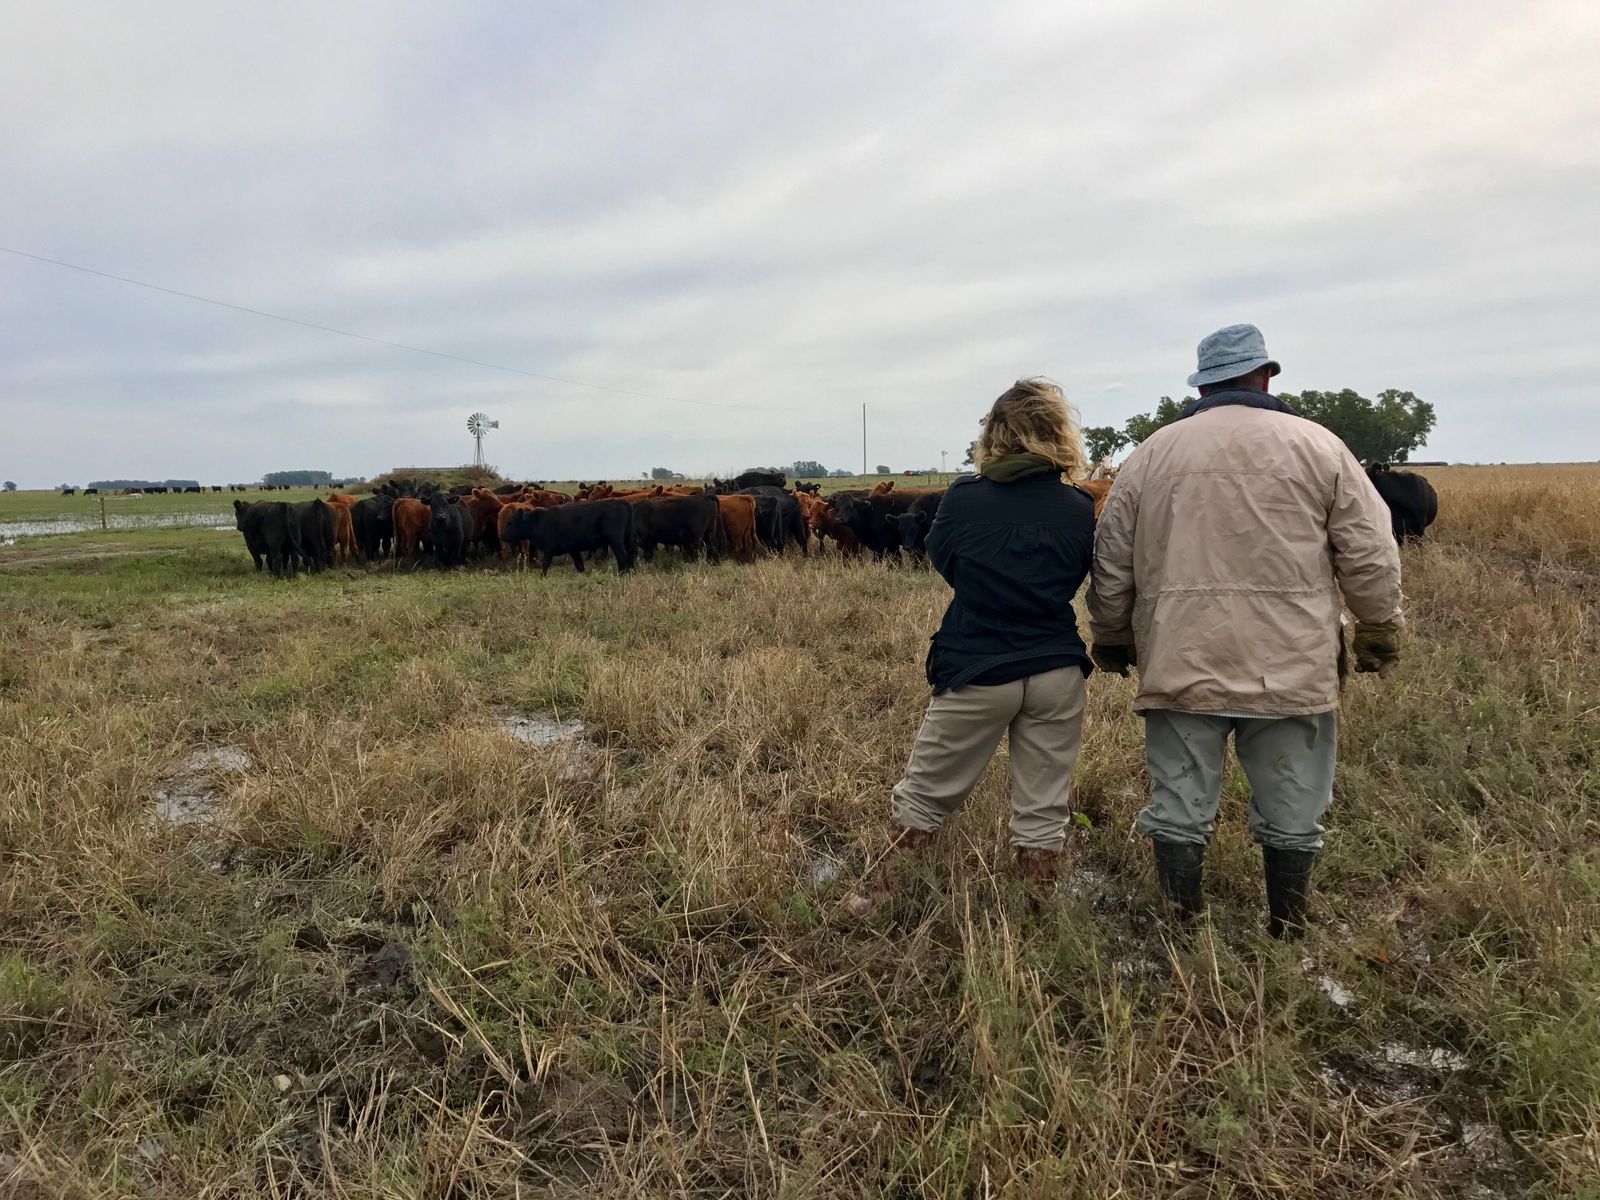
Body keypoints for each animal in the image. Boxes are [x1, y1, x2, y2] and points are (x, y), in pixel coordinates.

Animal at [502, 496, 633, 576]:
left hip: (615, 541)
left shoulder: (548, 550)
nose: (501, 535)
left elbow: (545, 566)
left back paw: (621, 574)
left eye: (510, 523)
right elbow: (580, 566)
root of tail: (621, 502)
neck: (539, 521)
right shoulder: (573, 550)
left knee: (622, 556)